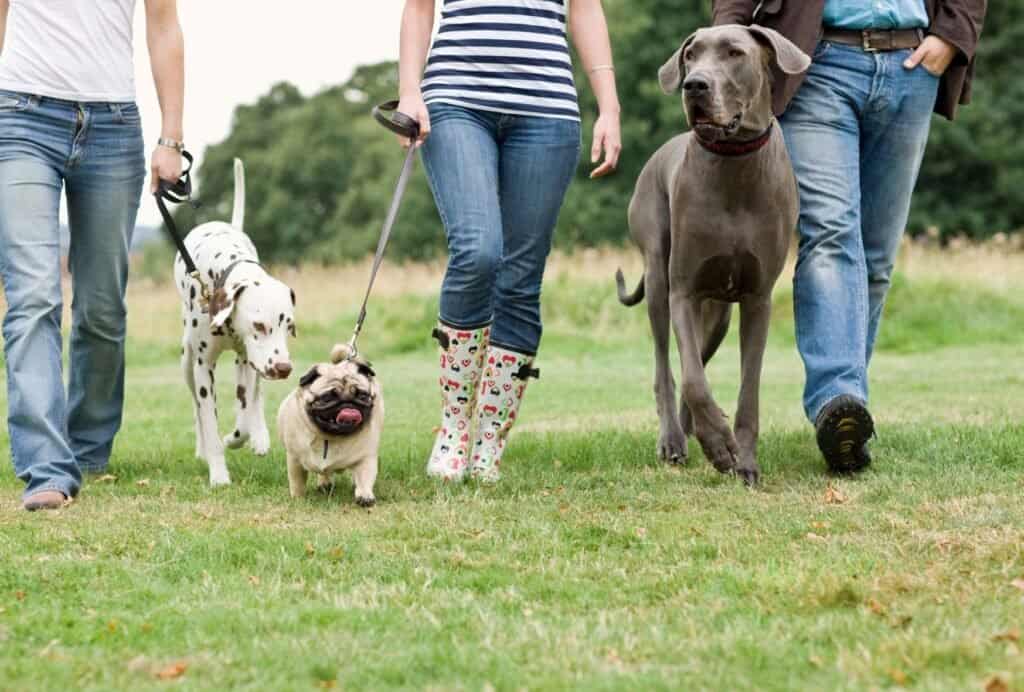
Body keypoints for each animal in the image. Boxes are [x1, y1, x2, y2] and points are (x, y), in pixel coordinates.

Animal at [174, 159, 296, 489]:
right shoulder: (203, 367)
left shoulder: (248, 360)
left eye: (288, 326)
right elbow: (208, 420)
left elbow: (244, 414)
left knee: (255, 398)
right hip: (187, 363)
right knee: (195, 408)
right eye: (259, 325)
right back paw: (202, 448)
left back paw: (260, 436)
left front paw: (239, 437)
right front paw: (218, 473)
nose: (284, 368)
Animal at [276, 343, 380, 505]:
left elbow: (365, 477)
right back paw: (324, 484)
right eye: (327, 397)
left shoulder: (366, 457)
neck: (329, 437)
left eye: (362, 396)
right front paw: (298, 498)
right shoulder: (294, 460)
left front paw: (365, 496)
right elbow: (297, 481)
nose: (348, 403)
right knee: (324, 473)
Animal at [614, 24, 806, 483]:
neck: (734, 165)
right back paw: (675, 439)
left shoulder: (757, 299)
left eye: (735, 53)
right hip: (659, 274)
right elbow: (693, 380)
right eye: (691, 55)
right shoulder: (683, 290)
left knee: (695, 359)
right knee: (668, 368)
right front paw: (719, 443)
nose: (694, 85)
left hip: (718, 315)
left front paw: (744, 460)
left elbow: (748, 389)